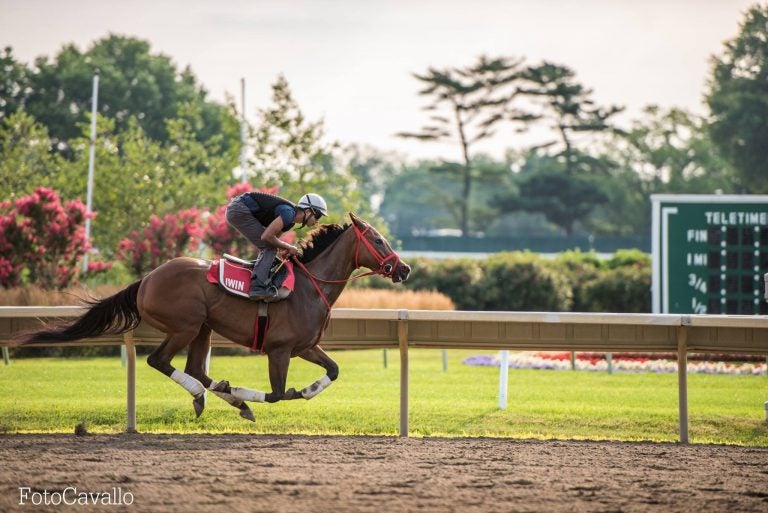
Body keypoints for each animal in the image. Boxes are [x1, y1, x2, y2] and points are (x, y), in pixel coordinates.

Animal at [21, 212, 412, 420]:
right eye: (378, 240)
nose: (404, 268)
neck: (308, 287)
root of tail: (147, 279)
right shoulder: (280, 350)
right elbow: (278, 394)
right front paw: (268, 394)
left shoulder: (304, 346)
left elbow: (333, 370)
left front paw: (306, 389)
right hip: (186, 325)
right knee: (160, 361)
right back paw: (211, 395)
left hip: (203, 328)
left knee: (195, 369)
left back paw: (219, 395)